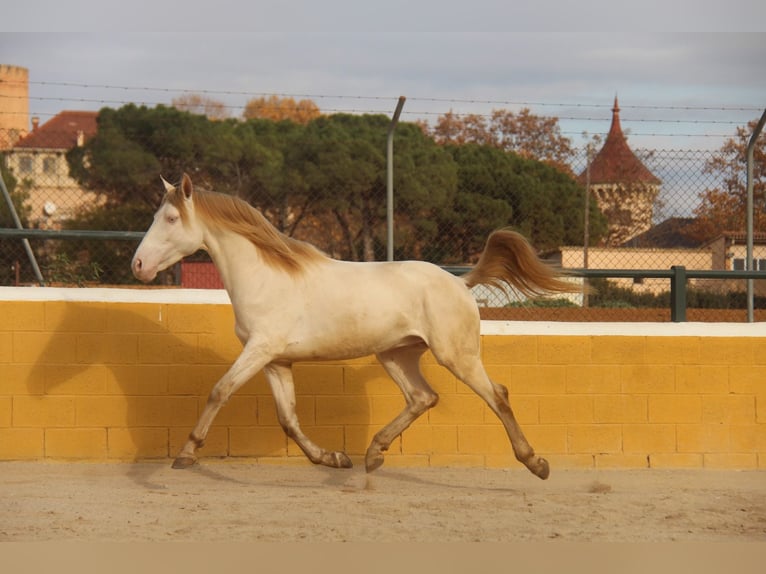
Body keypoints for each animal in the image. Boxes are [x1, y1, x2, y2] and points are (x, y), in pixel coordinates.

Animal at [132, 174, 580, 482]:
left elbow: (219, 391)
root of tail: (460, 282)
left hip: (457, 355)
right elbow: (288, 418)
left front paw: (186, 454)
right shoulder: (276, 361)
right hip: (395, 354)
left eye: (170, 218)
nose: (138, 265)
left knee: (497, 396)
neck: (265, 276)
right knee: (423, 397)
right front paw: (332, 459)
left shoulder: (260, 349)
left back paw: (536, 463)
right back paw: (373, 454)